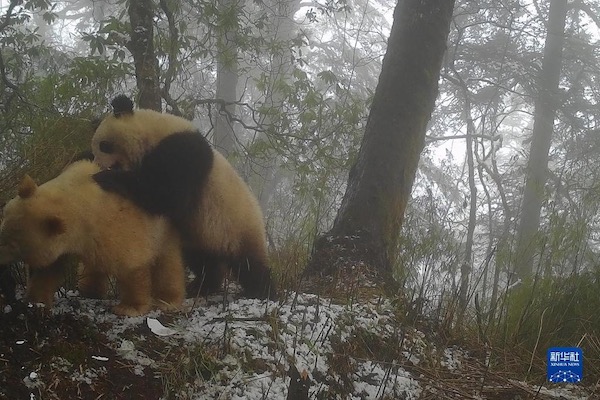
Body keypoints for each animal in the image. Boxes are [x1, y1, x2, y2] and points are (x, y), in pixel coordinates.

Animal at [90, 95, 276, 298]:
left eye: (104, 145)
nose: (98, 164)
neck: (153, 130)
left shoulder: (184, 151)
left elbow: (165, 195)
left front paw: (106, 177)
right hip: (200, 234)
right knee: (203, 259)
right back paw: (203, 285)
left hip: (238, 226)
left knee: (249, 264)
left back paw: (260, 290)